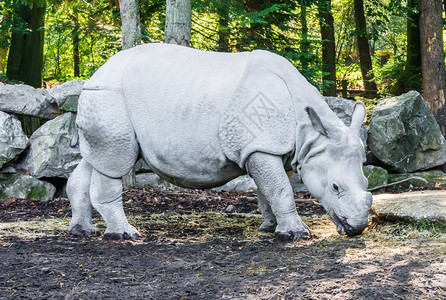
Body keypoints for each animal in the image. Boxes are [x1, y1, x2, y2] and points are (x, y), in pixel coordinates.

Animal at [67, 43, 372, 241]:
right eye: (335, 187)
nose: (358, 228)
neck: (310, 135)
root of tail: (96, 73)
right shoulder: (261, 147)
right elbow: (281, 190)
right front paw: (295, 233)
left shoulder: (267, 147)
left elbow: (268, 190)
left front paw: (270, 227)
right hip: (109, 98)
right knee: (115, 162)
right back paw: (124, 235)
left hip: (101, 100)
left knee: (94, 160)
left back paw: (83, 231)